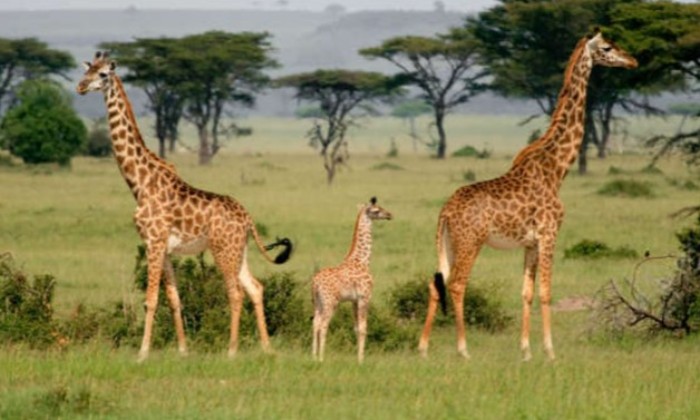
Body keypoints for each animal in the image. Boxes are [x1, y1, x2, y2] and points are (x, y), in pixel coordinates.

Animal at [76, 51, 292, 360]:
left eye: (103, 74)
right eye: (87, 70)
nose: (80, 87)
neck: (139, 184)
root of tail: (248, 218)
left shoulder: (153, 242)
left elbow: (151, 300)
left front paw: (142, 353)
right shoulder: (165, 248)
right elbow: (174, 298)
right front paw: (182, 350)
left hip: (223, 250)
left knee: (236, 293)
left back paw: (232, 350)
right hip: (240, 251)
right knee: (256, 288)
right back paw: (267, 348)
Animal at [314, 197, 394, 360]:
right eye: (376, 210)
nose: (389, 215)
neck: (362, 260)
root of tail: (315, 283)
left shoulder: (354, 300)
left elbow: (356, 328)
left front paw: (358, 357)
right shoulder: (365, 296)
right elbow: (363, 328)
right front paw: (361, 360)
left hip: (317, 302)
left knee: (314, 323)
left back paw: (312, 356)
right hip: (330, 302)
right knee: (323, 325)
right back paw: (321, 358)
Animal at [418, 29, 636, 360]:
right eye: (608, 47)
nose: (633, 60)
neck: (556, 169)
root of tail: (446, 211)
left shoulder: (530, 243)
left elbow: (526, 292)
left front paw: (526, 351)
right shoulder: (549, 234)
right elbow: (546, 292)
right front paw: (550, 351)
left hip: (449, 243)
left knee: (436, 283)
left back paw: (423, 348)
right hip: (471, 242)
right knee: (456, 285)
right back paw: (463, 349)